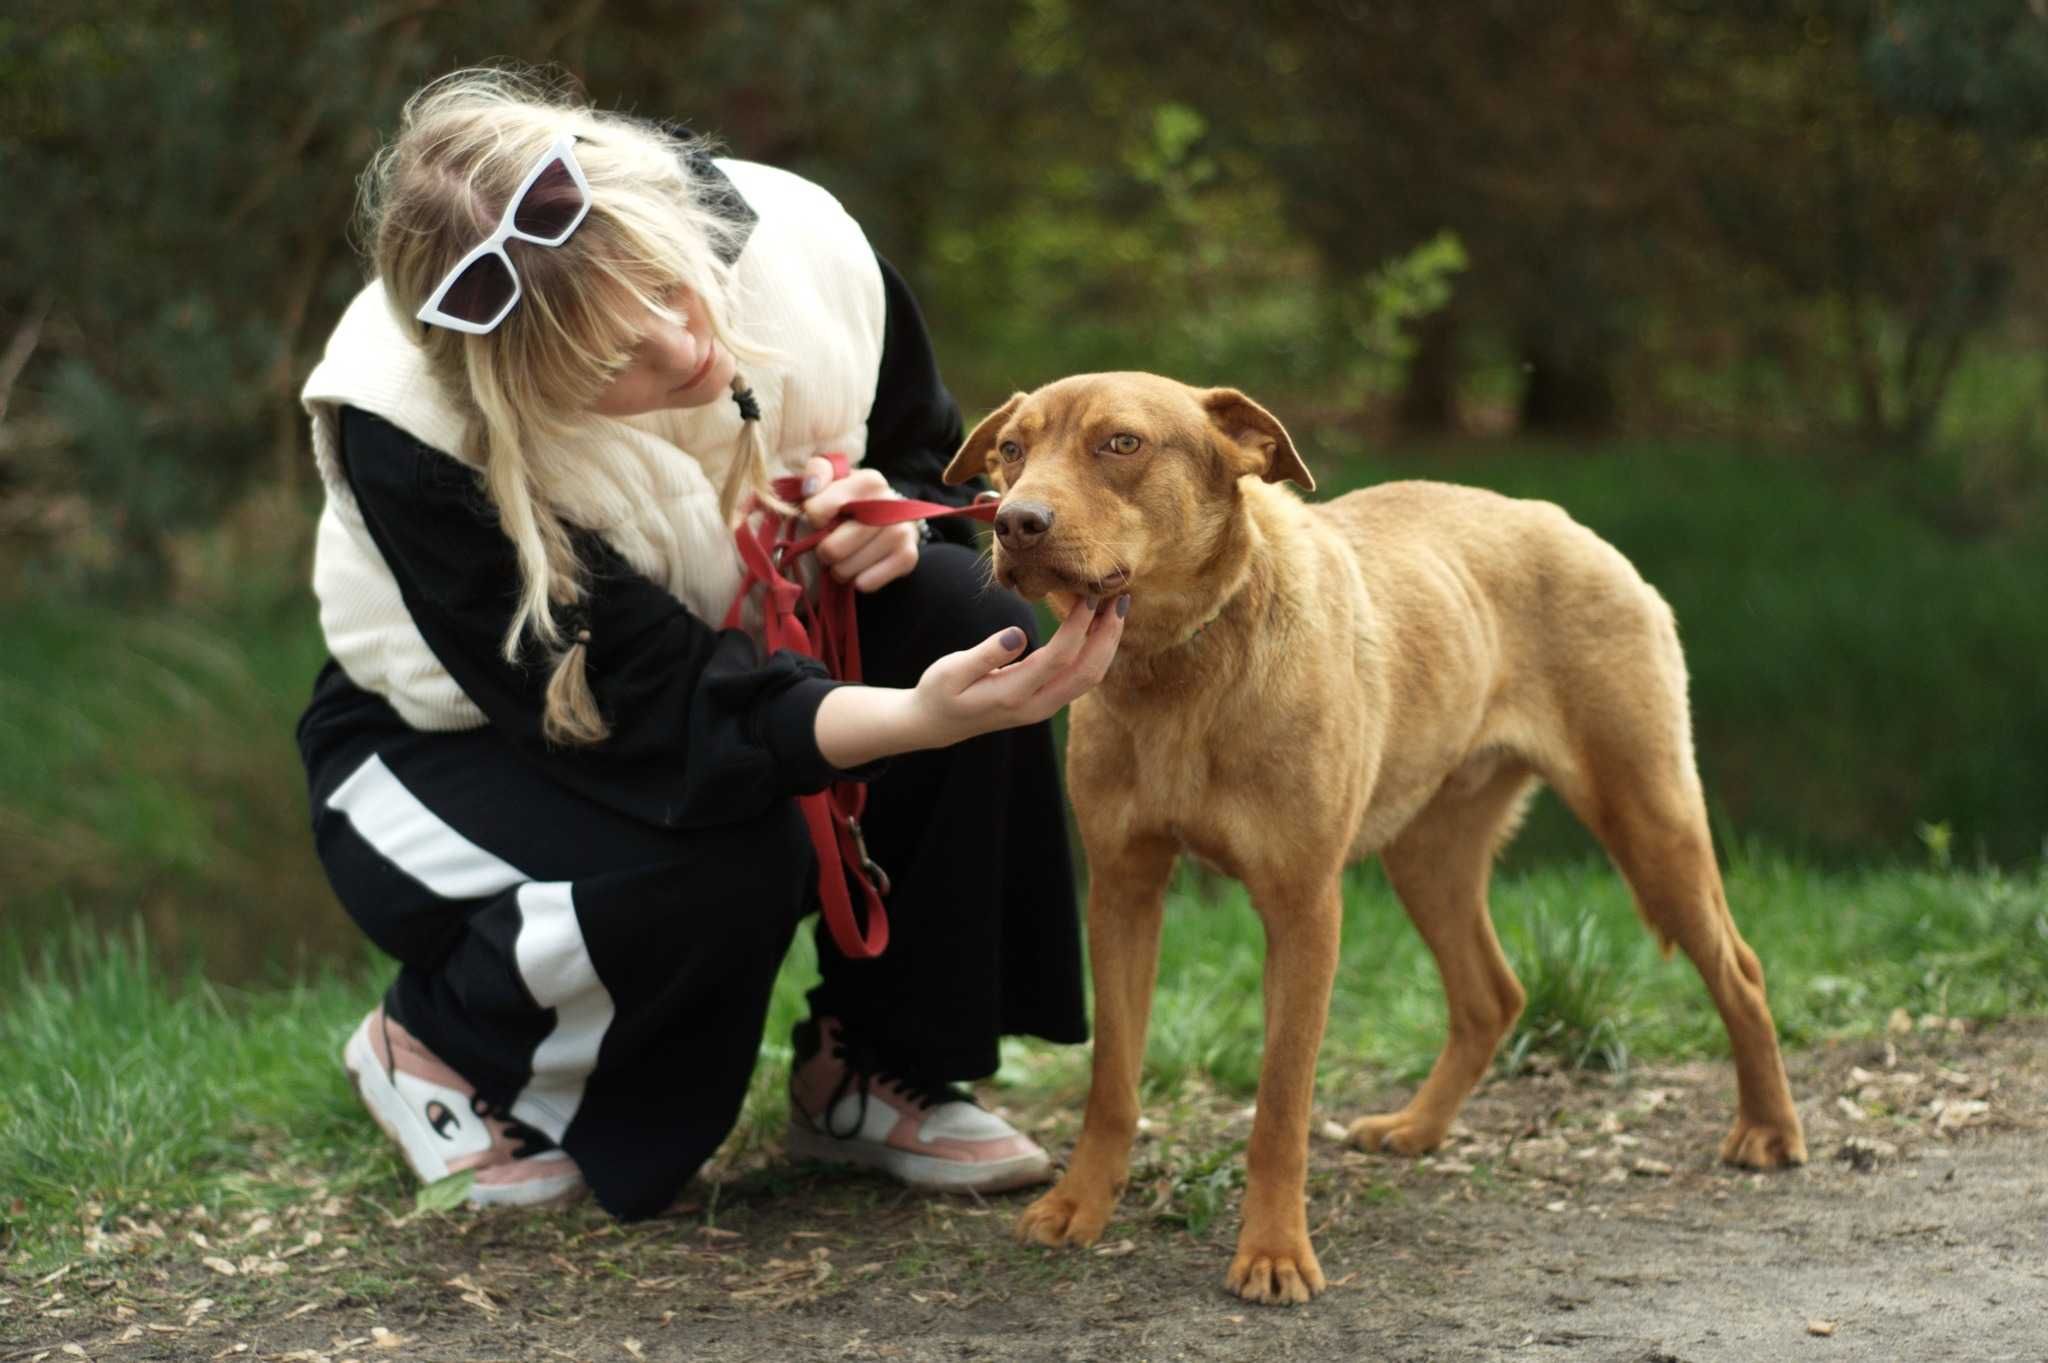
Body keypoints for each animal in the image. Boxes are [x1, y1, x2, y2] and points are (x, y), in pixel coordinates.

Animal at [942, 374, 1810, 1309]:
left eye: (1122, 444)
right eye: (1012, 450)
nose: (1014, 521)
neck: (1181, 661)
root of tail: (1572, 526)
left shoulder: (1303, 907)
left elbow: (1280, 1105)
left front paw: (1274, 1251)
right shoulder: (1122, 890)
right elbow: (1113, 1079)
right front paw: (1080, 1205)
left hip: (1648, 816)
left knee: (1738, 968)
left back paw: (1768, 1129)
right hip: (1428, 855)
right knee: (1492, 995)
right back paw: (1419, 1127)